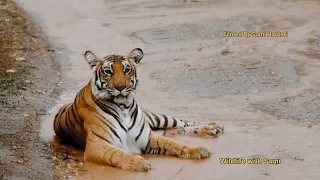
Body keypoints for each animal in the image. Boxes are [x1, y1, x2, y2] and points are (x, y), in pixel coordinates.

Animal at [53, 47, 225, 172]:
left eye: (126, 69)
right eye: (108, 71)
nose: (121, 87)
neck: (124, 106)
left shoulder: (148, 137)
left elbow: (173, 143)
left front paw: (197, 149)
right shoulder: (97, 145)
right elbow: (117, 153)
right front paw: (137, 162)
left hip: (157, 118)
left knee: (182, 123)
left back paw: (214, 127)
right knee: (175, 130)